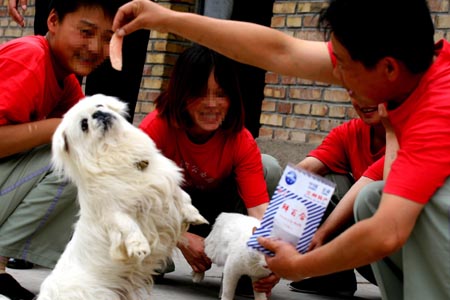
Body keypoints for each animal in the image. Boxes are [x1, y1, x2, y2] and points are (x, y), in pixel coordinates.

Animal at [38, 94, 207, 300]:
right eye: (84, 125)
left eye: (99, 106)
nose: (98, 114)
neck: (118, 152)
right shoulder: (114, 213)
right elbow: (129, 227)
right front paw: (140, 247)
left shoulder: (166, 186)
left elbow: (184, 198)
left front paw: (195, 216)